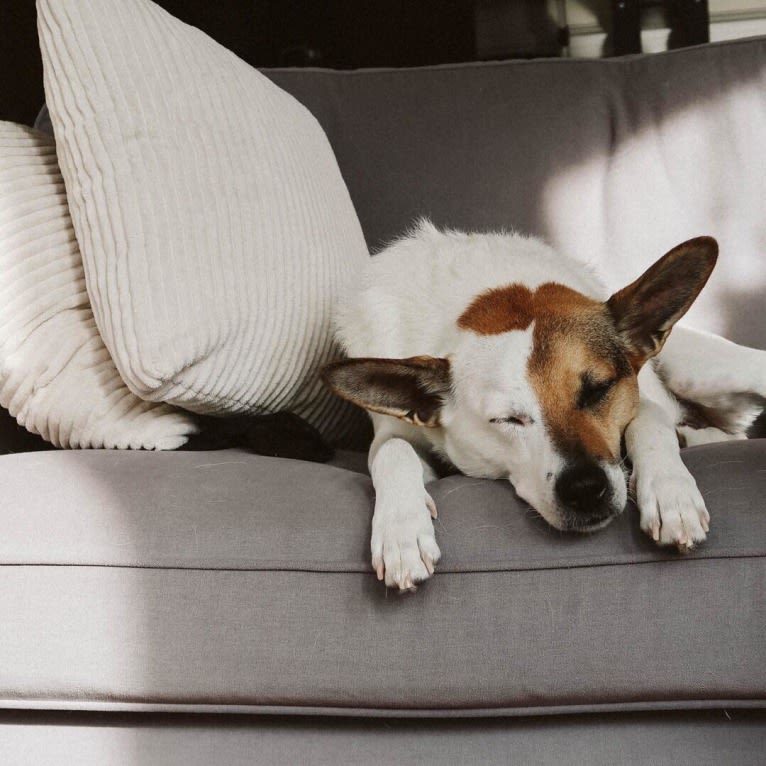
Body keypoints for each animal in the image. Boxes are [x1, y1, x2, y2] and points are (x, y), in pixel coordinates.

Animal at [320, 222, 764, 592]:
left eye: (597, 390)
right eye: (507, 419)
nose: (585, 490)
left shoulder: (642, 401)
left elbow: (649, 418)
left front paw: (672, 494)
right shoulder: (397, 434)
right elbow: (393, 451)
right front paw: (401, 532)